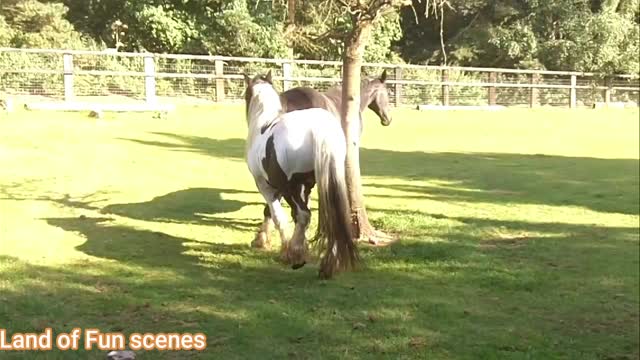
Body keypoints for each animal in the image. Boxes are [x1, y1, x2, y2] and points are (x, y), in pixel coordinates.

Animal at [242, 71, 358, 278]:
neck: (263, 127)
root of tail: (318, 129)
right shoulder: (305, 187)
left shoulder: (267, 186)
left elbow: (277, 215)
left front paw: (285, 248)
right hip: (329, 181)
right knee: (333, 217)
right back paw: (330, 264)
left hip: (291, 188)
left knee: (304, 214)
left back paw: (296, 256)